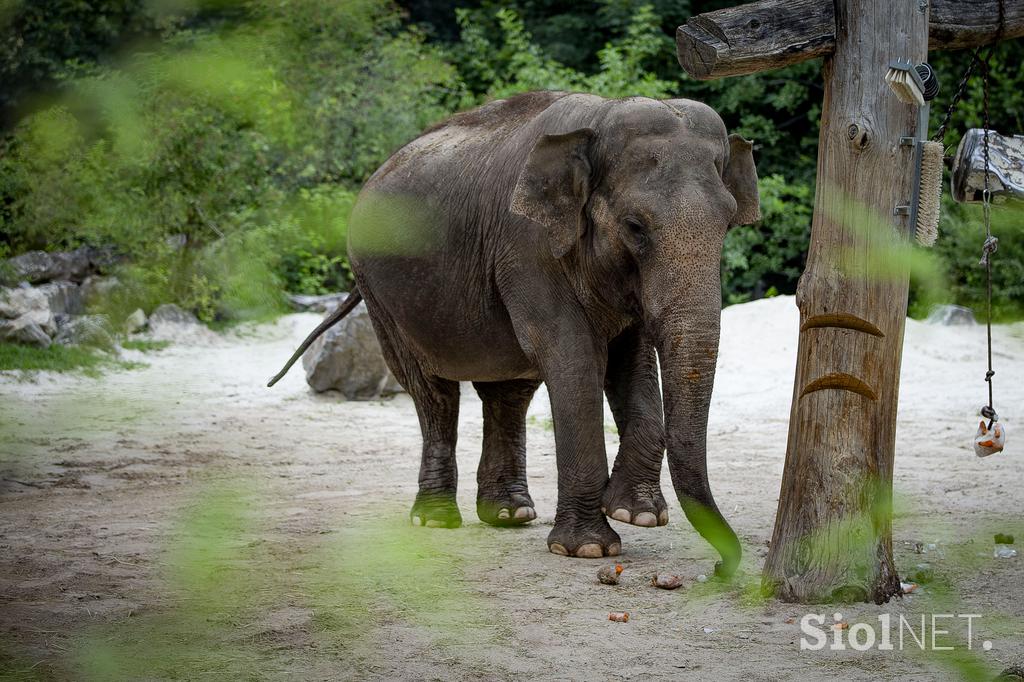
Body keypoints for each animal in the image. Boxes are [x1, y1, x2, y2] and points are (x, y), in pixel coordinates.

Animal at [272, 87, 761, 569]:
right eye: (634, 226)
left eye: (727, 224)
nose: (721, 568)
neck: (604, 113)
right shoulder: (528, 246)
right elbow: (574, 357)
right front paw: (588, 548)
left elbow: (632, 359)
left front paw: (634, 513)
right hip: (379, 292)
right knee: (434, 394)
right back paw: (435, 520)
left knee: (507, 393)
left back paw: (509, 515)